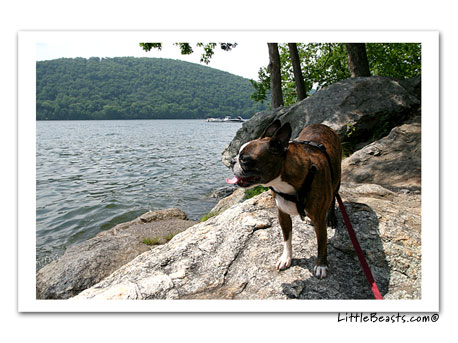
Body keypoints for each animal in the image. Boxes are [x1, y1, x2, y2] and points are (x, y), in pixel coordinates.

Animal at [227, 121, 342, 280]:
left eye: (244, 159)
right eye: (237, 155)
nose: (232, 161)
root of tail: (321, 125)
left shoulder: (319, 219)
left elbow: (322, 243)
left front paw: (321, 265)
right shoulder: (283, 214)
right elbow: (287, 238)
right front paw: (286, 258)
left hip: (336, 180)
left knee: (333, 198)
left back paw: (331, 218)